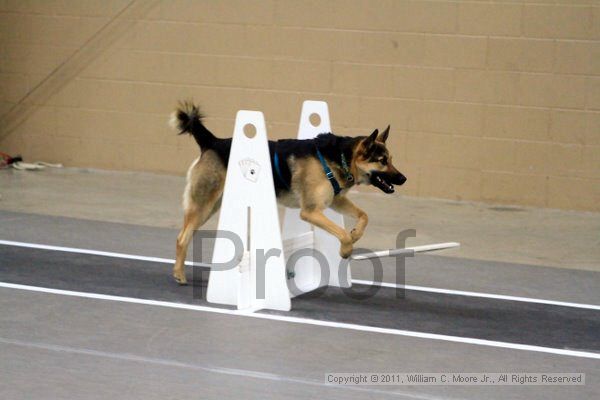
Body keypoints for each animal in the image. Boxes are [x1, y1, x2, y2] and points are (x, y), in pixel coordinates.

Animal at [170, 102, 408, 284]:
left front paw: (356, 234)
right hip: (204, 205)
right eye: (382, 161)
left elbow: (363, 216)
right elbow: (340, 232)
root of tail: (212, 141)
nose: (403, 179)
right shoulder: (311, 212)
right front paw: (346, 249)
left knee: (186, 235)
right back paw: (179, 275)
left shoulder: (335, 200)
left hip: (212, 205)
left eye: (391, 159)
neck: (341, 158)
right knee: (181, 238)